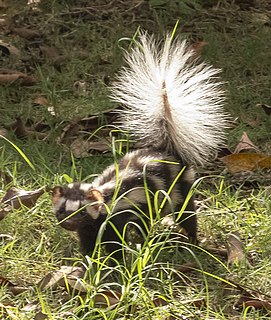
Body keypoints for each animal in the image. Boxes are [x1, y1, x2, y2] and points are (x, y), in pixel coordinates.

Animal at [51, 31, 230, 258]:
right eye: (62, 210)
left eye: (82, 212)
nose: (68, 223)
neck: (106, 199)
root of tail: (166, 149)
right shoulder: (90, 229)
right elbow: (89, 245)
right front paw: (88, 262)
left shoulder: (115, 217)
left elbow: (115, 243)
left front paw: (115, 262)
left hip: (179, 185)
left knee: (185, 212)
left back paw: (192, 240)